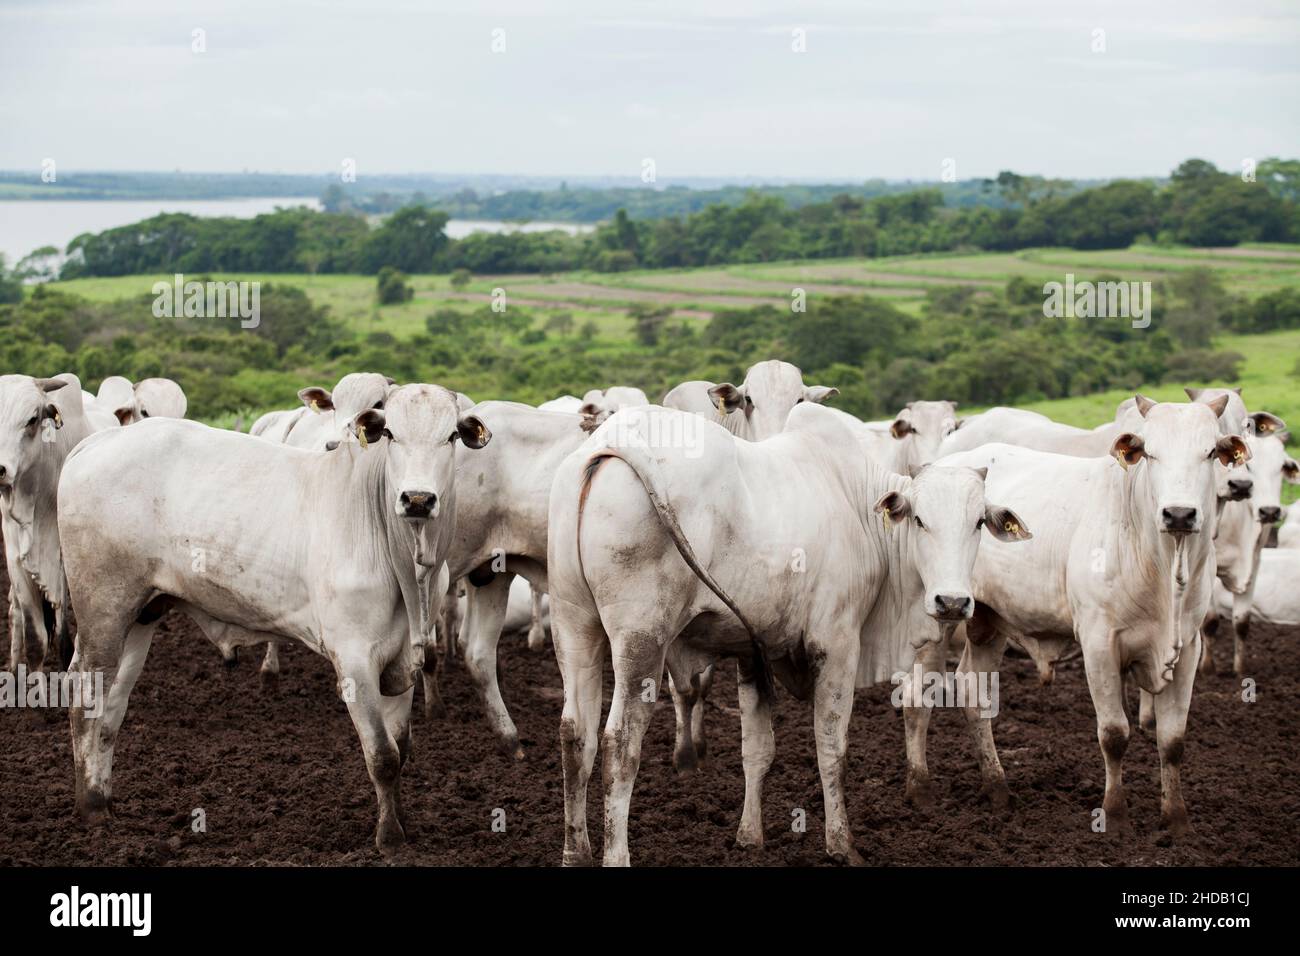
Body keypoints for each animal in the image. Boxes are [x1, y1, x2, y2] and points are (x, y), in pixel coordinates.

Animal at [0, 374, 111, 670]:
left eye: (32, 419)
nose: (0, 469)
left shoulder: (61, 558)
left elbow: (62, 636)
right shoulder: (16, 558)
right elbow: (35, 640)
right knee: (15, 613)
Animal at [58, 384, 491, 853]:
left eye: (451, 436)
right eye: (390, 433)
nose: (417, 499)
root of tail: (96, 443)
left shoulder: (403, 659)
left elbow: (402, 747)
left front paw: (403, 825)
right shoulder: (354, 660)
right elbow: (383, 756)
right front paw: (390, 838)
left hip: (142, 615)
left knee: (112, 707)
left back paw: (102, 799)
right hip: (103, 608)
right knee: (84, 694)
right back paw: (89, 809)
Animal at [546, 403, 1030, 865]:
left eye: (978, 523)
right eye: (920, 521)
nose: (952, 602)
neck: (857, 505)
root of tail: (609, 444)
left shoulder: (751, 649)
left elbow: (757, 750)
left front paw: (749, 837)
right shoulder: (837, 645)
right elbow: (832, 749)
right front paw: (841, 845)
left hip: (574, 625)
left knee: (576, 735)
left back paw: (575, 853)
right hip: (642, 639)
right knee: (620, 742)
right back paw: (616, 856)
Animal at [936, 395, 1250, 838]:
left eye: (1209, 452)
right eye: (1150, 452)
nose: (1179, 514)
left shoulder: (1188, 648)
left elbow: (1172, 741)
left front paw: (1176, 820)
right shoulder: (1100, 644)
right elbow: (1114, 734)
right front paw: (1115, 816)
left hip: (987, 621)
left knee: (973, 691)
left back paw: (998, 789)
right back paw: (918, 789)